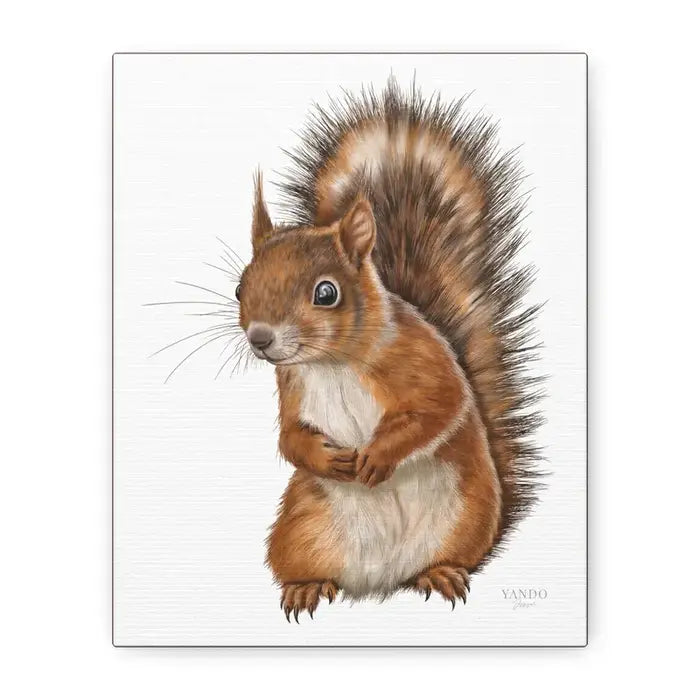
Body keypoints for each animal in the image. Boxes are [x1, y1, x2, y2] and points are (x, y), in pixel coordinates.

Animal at [235, 78, 542, 622]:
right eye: (238, 288)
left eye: (327, 293)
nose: (260, 338)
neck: (332, 363)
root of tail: (384, 581)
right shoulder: (291, 385)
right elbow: (290, 437)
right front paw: (322, 456)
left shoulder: (423, 359)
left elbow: (439, 408)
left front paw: (378, 455)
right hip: (302, 528)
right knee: (300, 562)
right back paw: (306, 586)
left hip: (466, 518)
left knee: (455, 556)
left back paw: (440, 573)